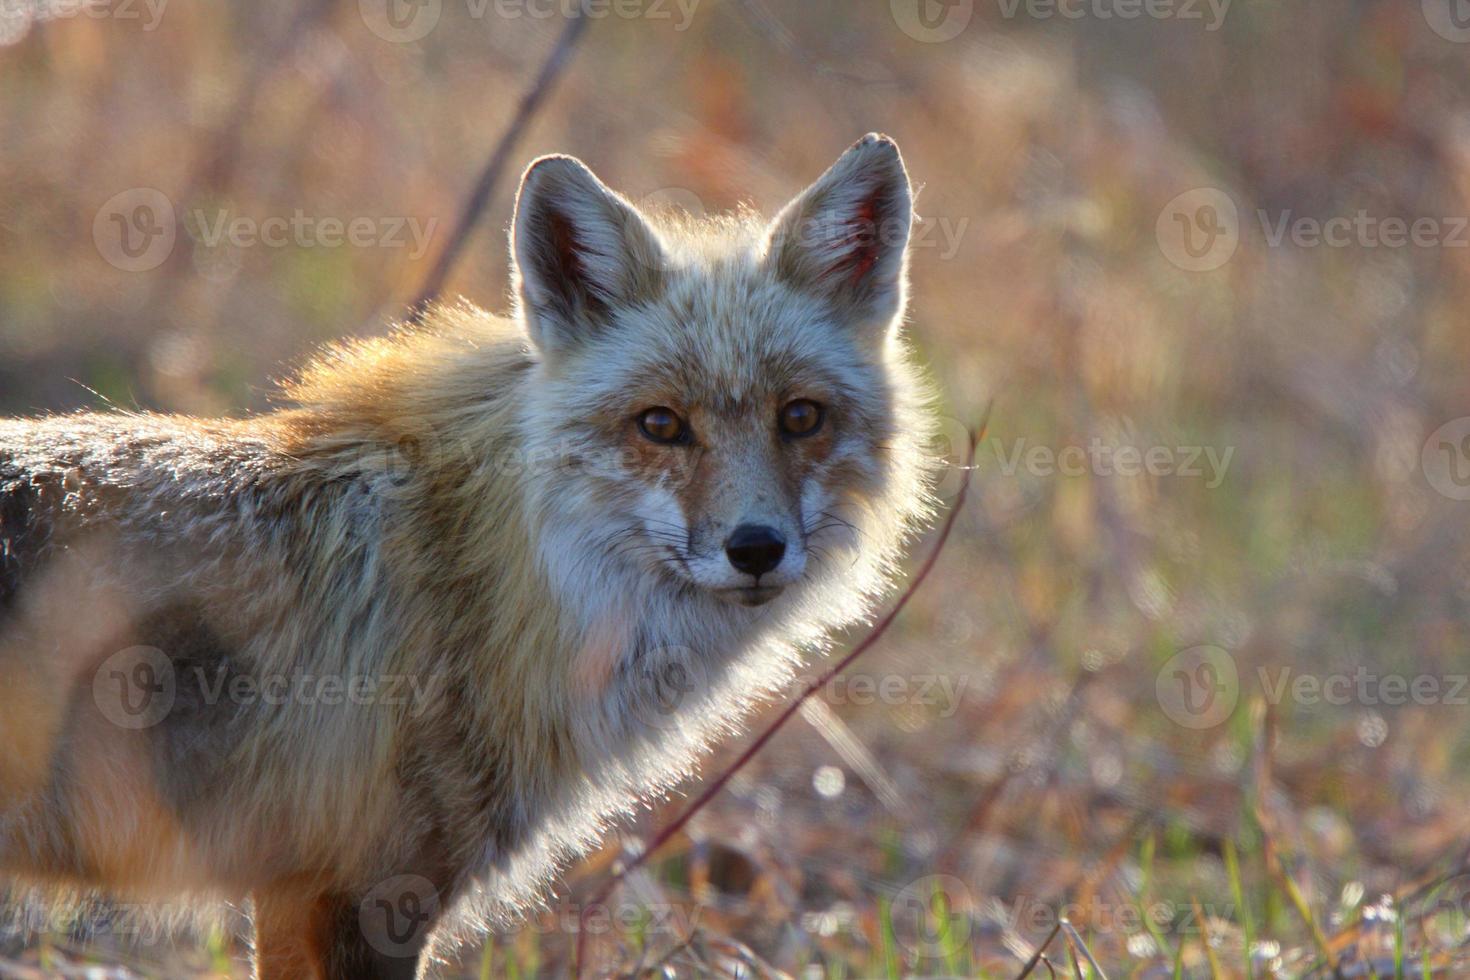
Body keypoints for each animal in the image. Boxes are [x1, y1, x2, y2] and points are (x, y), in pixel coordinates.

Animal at [0, 135, 934, 980]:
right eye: (661, 424)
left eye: (801, 417)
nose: (756, 548)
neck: (471, 572)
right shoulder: (364, 891)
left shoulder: (300, 893)